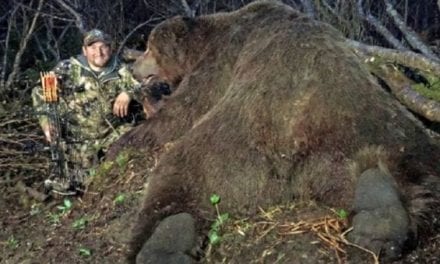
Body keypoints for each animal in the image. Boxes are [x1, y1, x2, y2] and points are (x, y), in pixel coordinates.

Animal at [112, 1, 440, 262]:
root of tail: (289, 158)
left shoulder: (221, 59)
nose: (133, 67)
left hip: (229, 143)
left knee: (172, 174)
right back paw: (379, 218)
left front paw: (125, 138)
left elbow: (185, 110)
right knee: (404, 162)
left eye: (149, 48)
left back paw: (160, 246)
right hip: (370, 126)